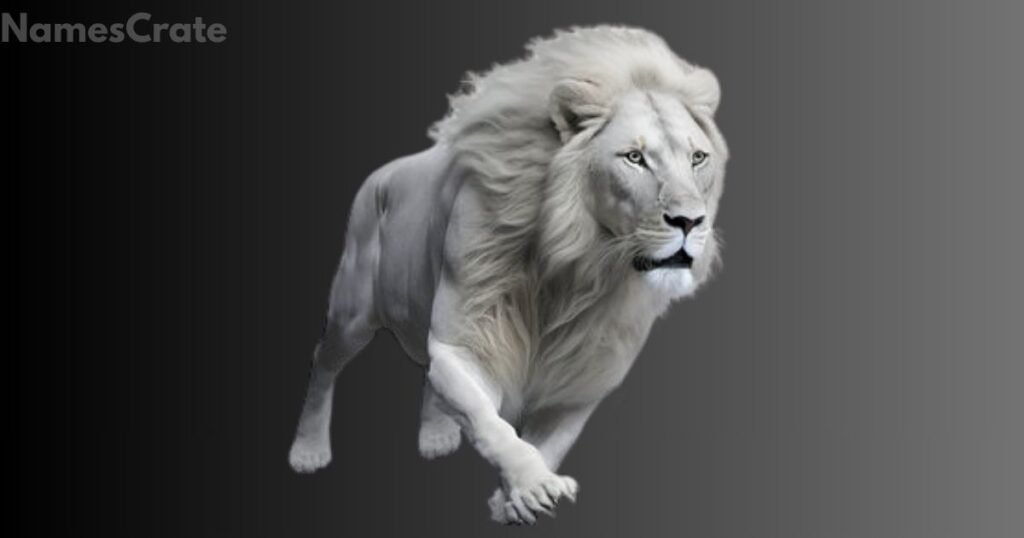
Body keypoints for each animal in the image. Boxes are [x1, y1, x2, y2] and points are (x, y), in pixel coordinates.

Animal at [288, 25, 729, 525]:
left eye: (698, 158)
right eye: (634, 157)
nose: (690, 221)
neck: (574, 269)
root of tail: (381, 175)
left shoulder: (582, 381)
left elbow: (548, 443)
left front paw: (509, 502)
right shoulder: (464, 340)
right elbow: (489, 422)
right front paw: (532, 486)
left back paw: (436, 438)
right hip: (354, 310)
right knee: (324, 360)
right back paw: (308, 451)